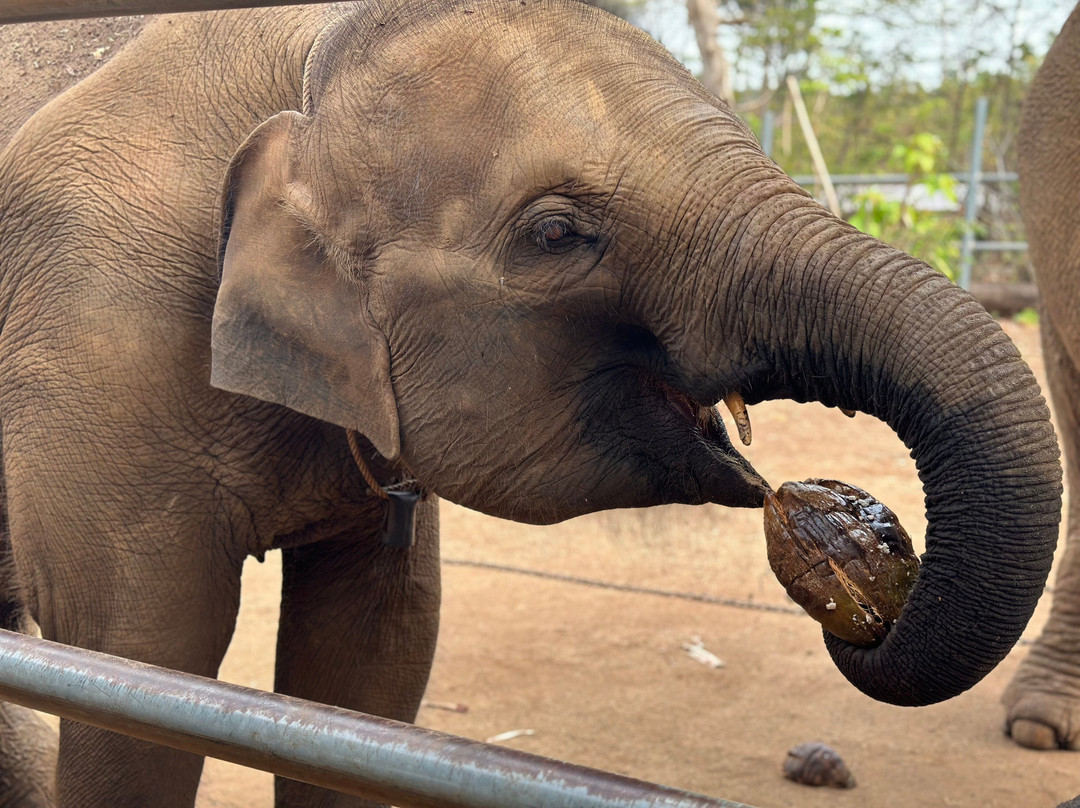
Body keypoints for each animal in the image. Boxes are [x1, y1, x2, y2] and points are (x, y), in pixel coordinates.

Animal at [0, 0, 1062, 805]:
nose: (868, 608)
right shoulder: (91, 337)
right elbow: (139, 667)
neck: (303, 70)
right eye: (556, 234)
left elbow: (368, 665)